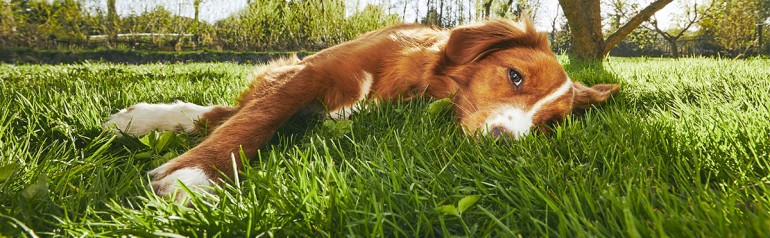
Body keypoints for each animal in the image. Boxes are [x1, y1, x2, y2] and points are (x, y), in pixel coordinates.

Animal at [103, 18, 616, 201]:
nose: (503, 143)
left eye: (549, 126)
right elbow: (255, 118)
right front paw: (198, 173)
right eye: (514, 76)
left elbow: (240, 116)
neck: (416, 76)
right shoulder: (307, 73)